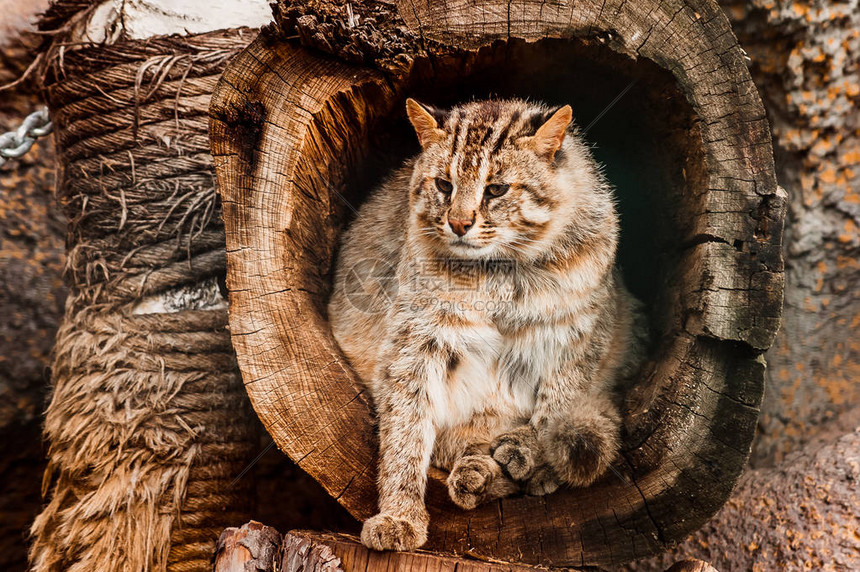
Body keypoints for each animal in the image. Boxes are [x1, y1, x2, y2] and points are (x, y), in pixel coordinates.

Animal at [328, 97, 644, 548]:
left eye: (496, 189)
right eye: (444, 185)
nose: (459, 224)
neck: (503, 270)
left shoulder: (583, 331)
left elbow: (558, 403)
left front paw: (537, 457)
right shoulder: (414, 340)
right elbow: (406, 427)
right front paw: (400, 513)